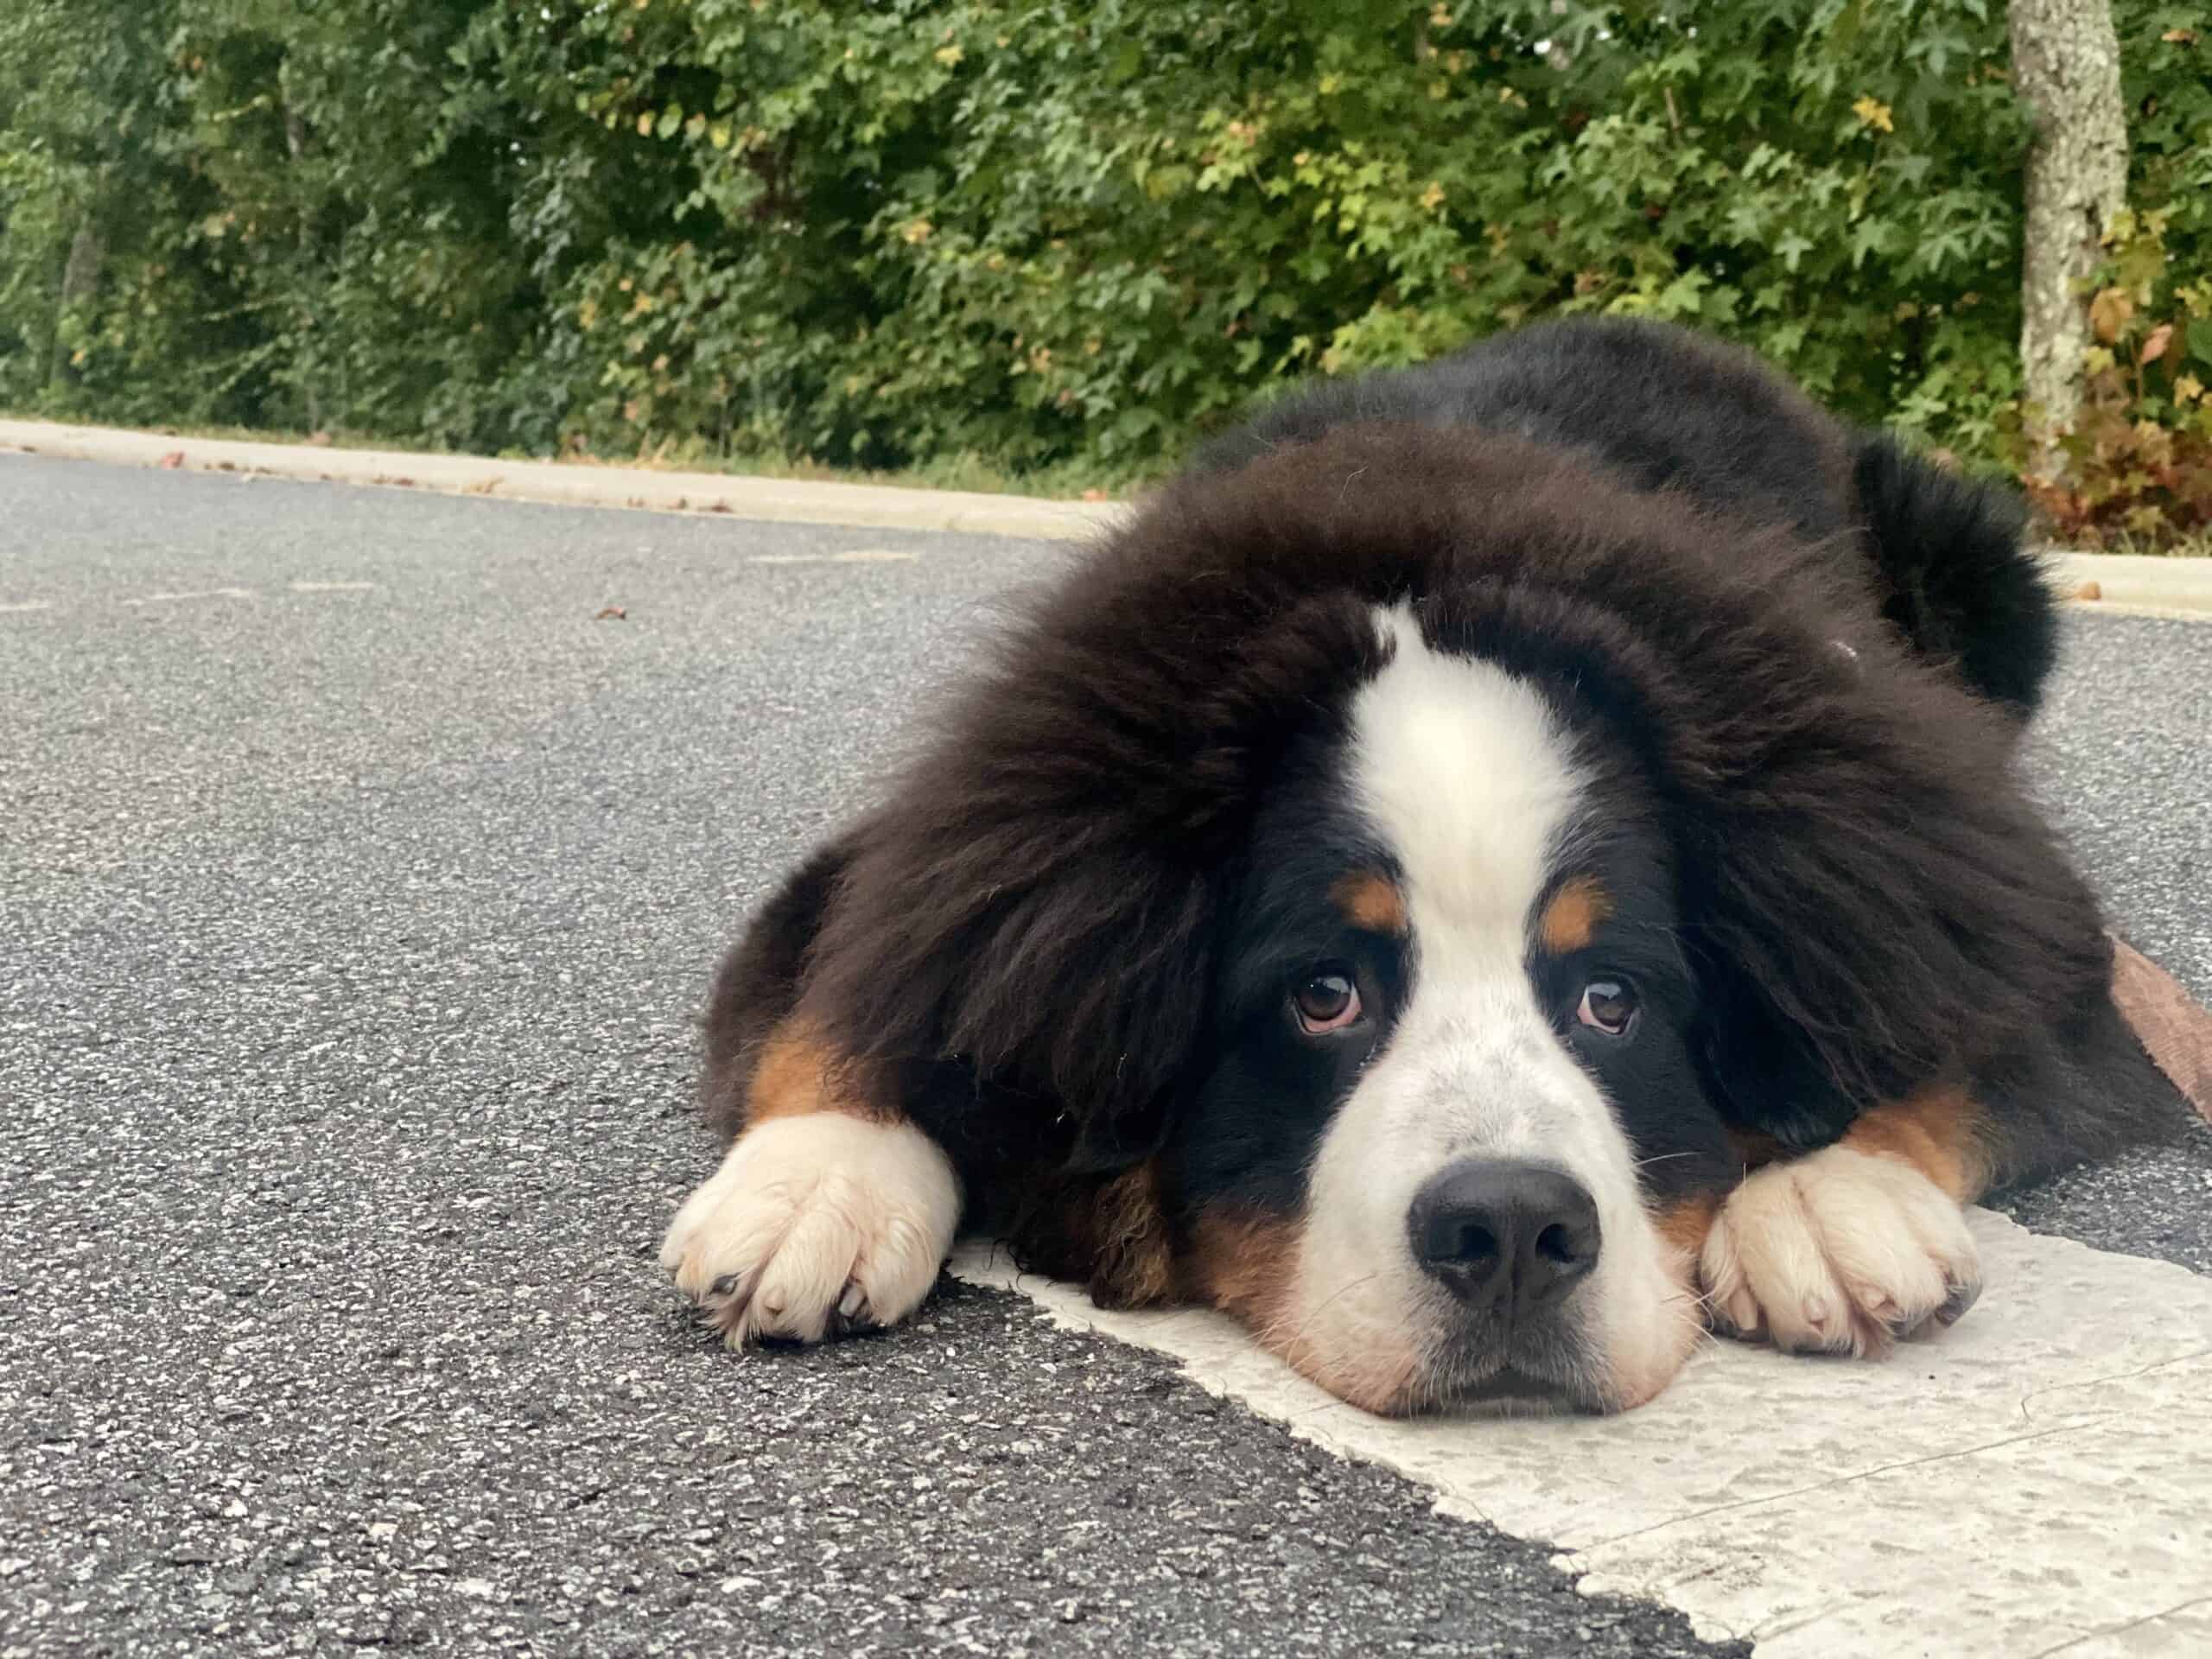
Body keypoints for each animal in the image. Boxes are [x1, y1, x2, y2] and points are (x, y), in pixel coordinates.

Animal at [658, 314, 2194, 1415]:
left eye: (1613, 999)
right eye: (1322, 993)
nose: (1510, 1229)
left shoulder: (1992, 888)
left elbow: (1969, 1019)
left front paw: (1830, 1195)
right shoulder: (947, 851)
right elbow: (842, 987)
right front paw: (816, 1188)